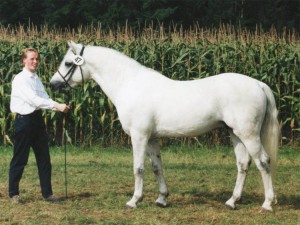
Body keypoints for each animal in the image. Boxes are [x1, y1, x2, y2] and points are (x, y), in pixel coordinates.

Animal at [49, 40, 278, 211]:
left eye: (68, 63)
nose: (53, 84)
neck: (130, 85)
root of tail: (258, 84)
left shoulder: (139, 136)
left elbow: (138, 168)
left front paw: (134, 200)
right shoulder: (152, 138)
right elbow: (156, 167)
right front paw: (162, 199)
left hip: (248, 134)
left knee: (263, 162)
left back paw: (267, 203)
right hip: (235, 134)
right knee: (243, 164)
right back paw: (232, 201)